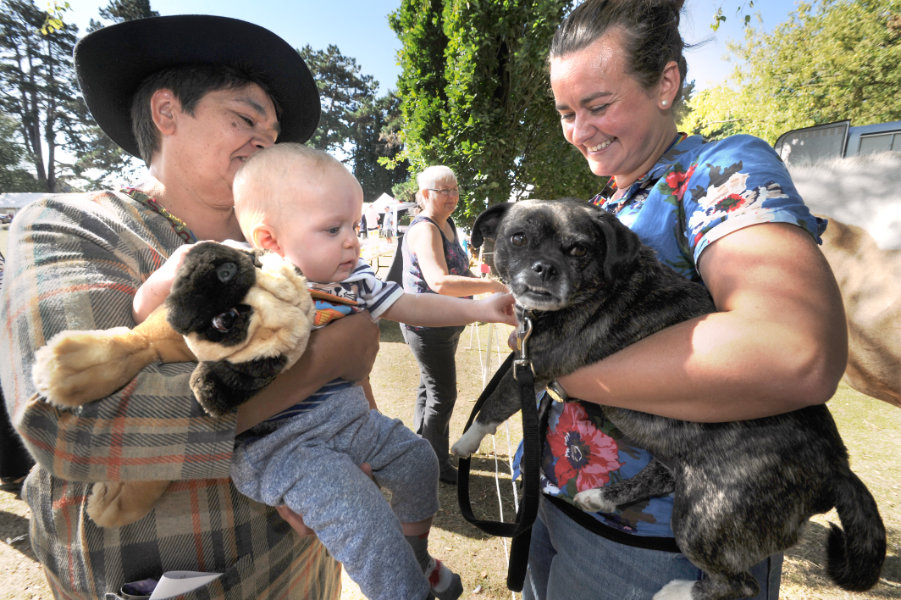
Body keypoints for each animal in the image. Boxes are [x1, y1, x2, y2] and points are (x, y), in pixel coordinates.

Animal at [454, 199, 884, 596]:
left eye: (578, 249)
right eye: (518, 238)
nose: (545, 268)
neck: (597, 288)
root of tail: (838, 466)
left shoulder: (535, 366)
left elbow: (494, 405)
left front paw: (466, 442)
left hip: (704, 521)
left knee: (738, 584)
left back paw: (674, 590)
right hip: (674, 452)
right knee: (662, 475)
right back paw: (600, 497)